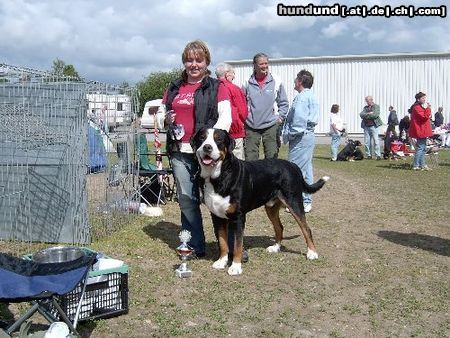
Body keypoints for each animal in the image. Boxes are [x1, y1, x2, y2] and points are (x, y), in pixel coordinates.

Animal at [192, 128, 328, 276]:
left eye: (219, 140)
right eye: (202, 138)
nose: (207, 147)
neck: (218, 177)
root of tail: (293, 165)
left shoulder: (239, 217)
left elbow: (237, 244)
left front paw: (235, 267)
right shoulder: (217, 216)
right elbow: (222, 242)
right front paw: (221, 261)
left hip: (294, 202)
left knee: (306, 228)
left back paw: (312, 253)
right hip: (271, 208)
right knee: (279, 227)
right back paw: (276, 247)